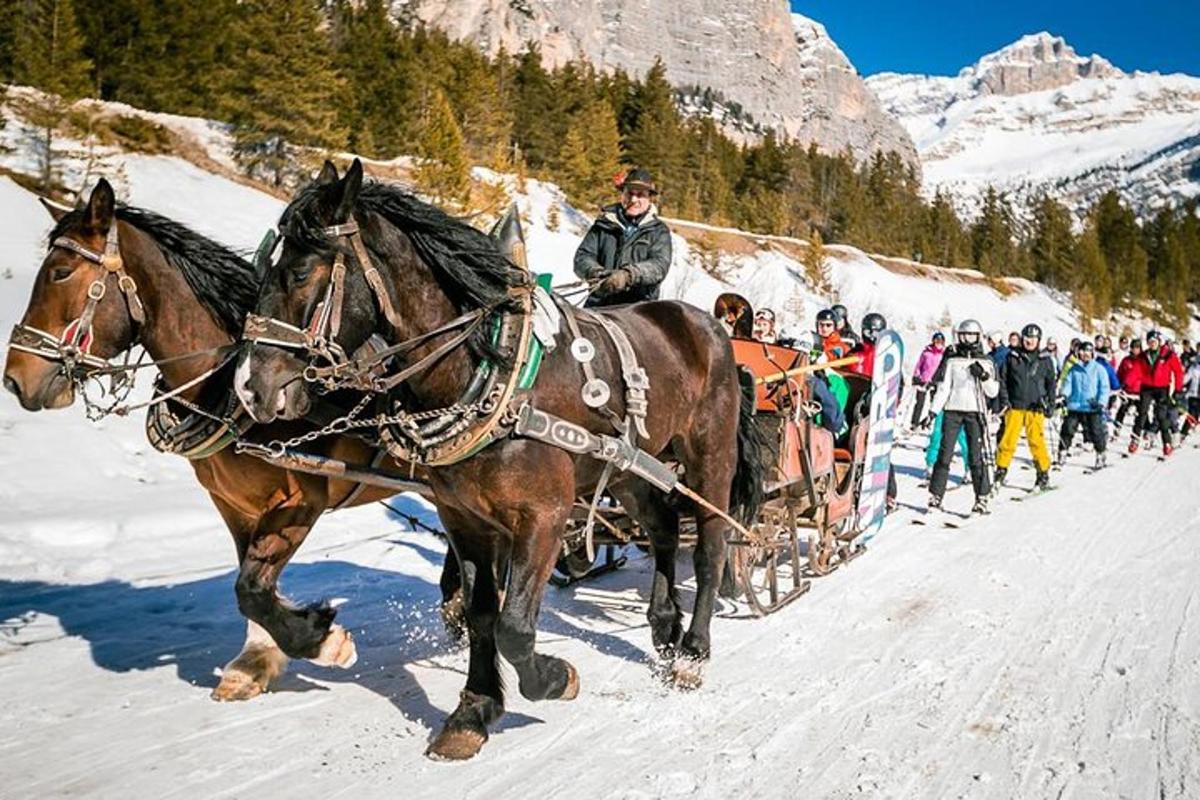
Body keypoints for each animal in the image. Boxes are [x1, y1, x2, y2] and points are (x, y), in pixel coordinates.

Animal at [1, 179, 453, 700]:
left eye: (60, 272)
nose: (15, 379)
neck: (226, 389)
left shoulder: (300, 501)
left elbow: (251, 588)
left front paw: (322, 641)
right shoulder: (235, 505)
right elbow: (249, 585)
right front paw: (255, 661)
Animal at [235, 159, 763, 762]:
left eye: (300, 272)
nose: (249, 388)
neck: (485, 367)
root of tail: (710, 327)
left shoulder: (545, 515)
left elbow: (514, 626)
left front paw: (554, 678)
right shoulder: (463, 517)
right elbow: (483, 612)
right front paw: (474, 710)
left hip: (709, 456)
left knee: (711, 544)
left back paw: (693, 649)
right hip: (629, 467)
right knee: (664, 529)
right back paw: (664, 625)